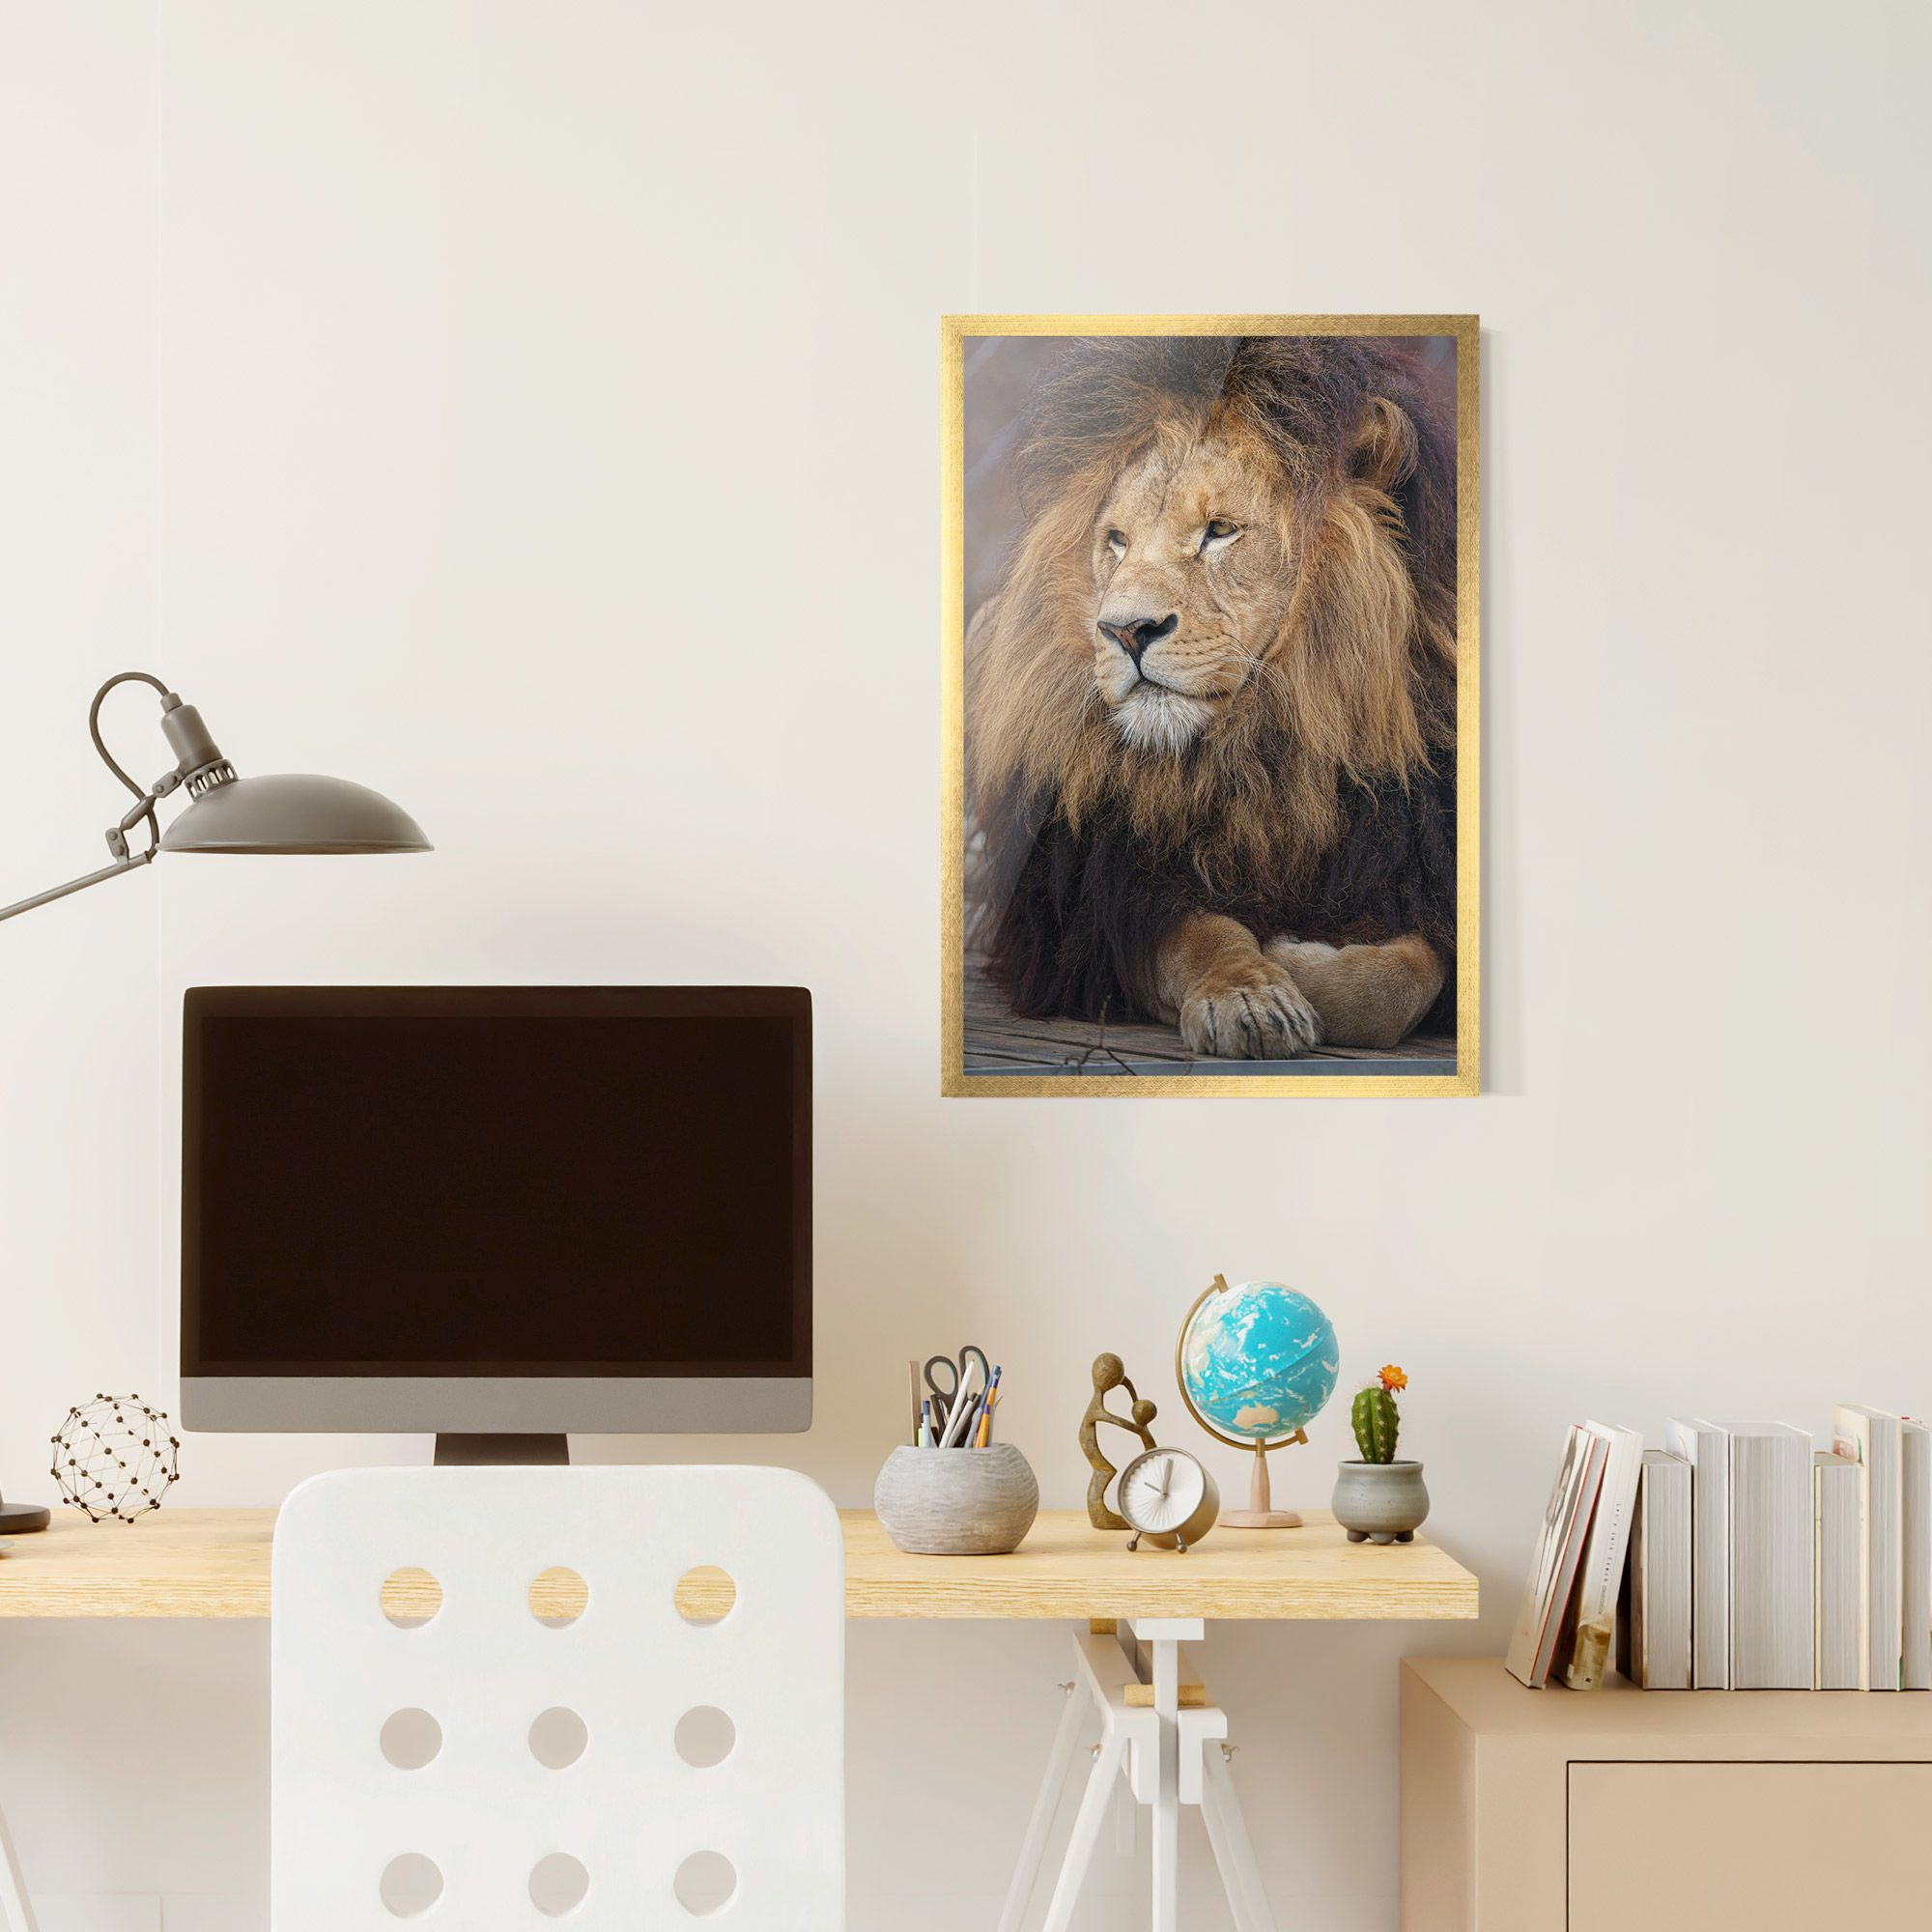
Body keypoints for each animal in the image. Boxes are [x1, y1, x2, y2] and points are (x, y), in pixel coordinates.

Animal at [967, 335, 1457, 1059]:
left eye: (1220, 530)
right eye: (1116, 541)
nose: (1124, 630)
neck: (1264, 755)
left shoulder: (1412, 867)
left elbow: (1398, 983)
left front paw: (1299, 953)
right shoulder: (1100, 901)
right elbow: (1201, 938)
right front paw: (1252, 994)